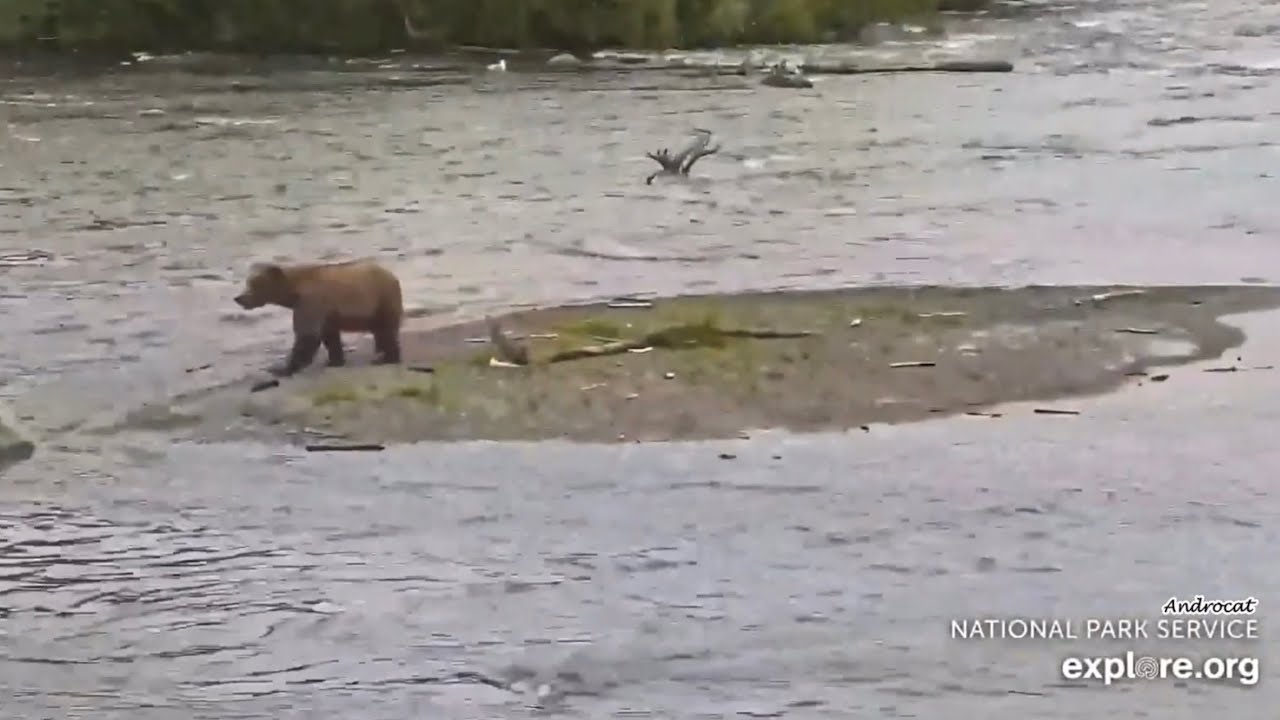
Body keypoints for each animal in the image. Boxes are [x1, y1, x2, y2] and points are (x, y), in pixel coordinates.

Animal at [233, 259, 404, 377]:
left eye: (254, 284)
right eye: (247, 282)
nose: (239, 298)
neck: (294, 291)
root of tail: (392, 276)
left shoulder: (311, 301)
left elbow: (307, 335)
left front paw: (280, 368)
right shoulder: (326, 313)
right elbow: (329, 336)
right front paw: (334, 361)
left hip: (382, 299)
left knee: (386, 330)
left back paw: (387, 358)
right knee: (380, 332)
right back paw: (380, 354)